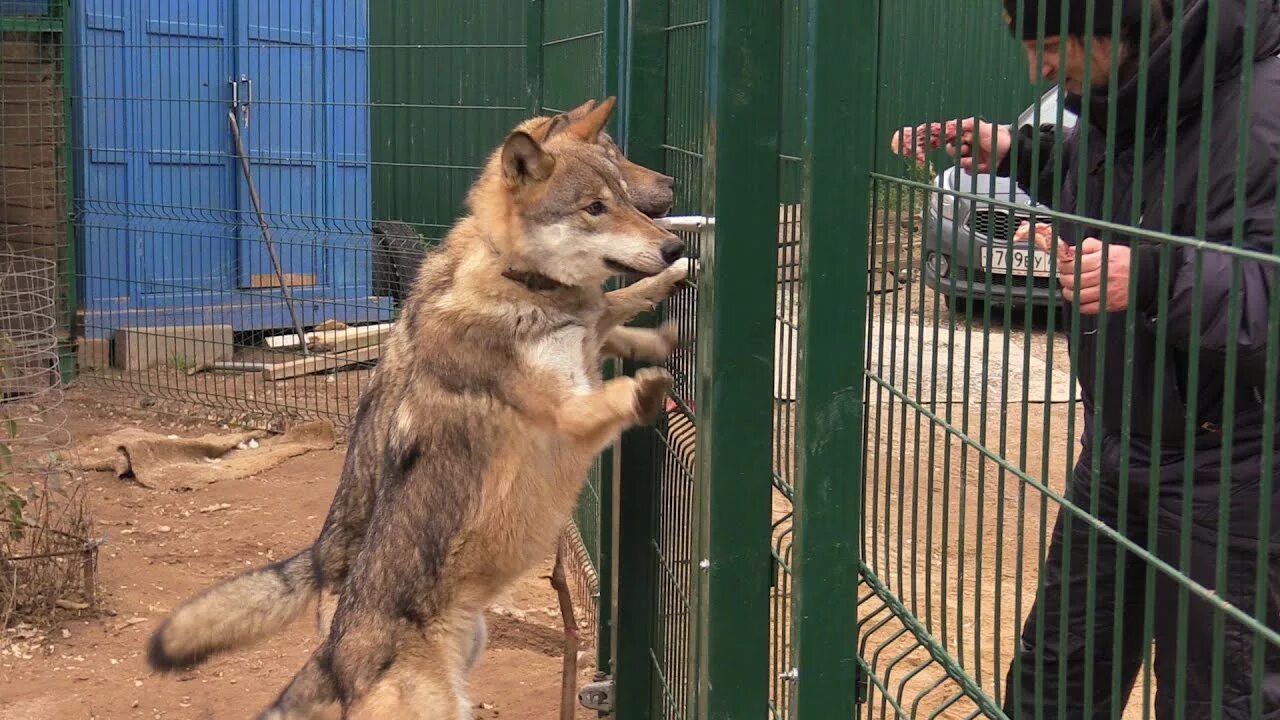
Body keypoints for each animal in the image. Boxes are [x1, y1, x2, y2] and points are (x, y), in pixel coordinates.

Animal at [149, 98, 691, 712]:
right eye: (596, 207)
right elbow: (616, 374)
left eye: (621, 194)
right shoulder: (567, 413)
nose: (673, 242)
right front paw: (650, 383)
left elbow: (618, 307)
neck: (521, 283)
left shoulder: (587, 336)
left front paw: (669, 301)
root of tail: (332, 657)